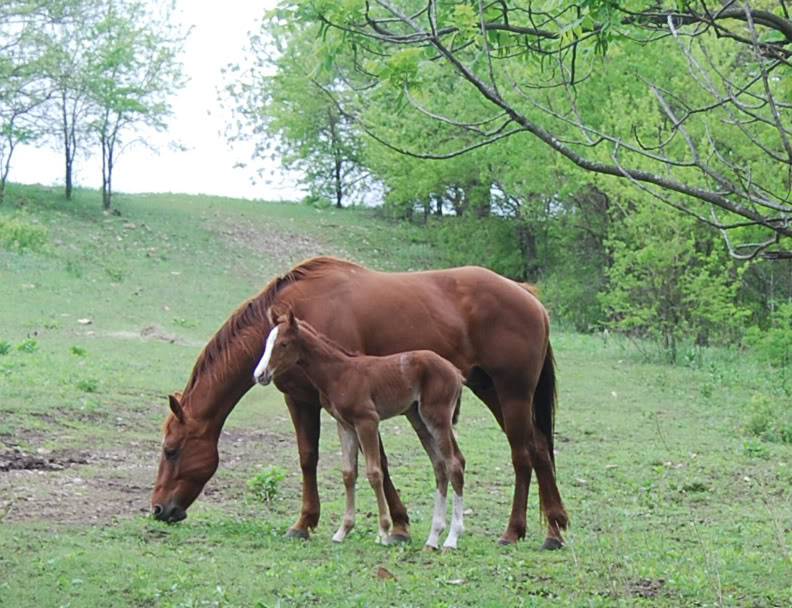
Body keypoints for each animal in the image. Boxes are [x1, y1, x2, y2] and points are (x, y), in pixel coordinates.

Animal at [254, 312, 468, 548]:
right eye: (266, 343)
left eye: (283, 344)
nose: (260, 374)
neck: (339, 373)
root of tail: (455, 371)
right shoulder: (345, 425)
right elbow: (348, 473)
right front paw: (343, 530)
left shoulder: (367, 421)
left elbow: (374, 472)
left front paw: (383, 531)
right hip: (419, 420)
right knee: (440, 466)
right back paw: (432, 538)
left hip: (438, 418)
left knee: (454, 464)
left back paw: (452, 538)